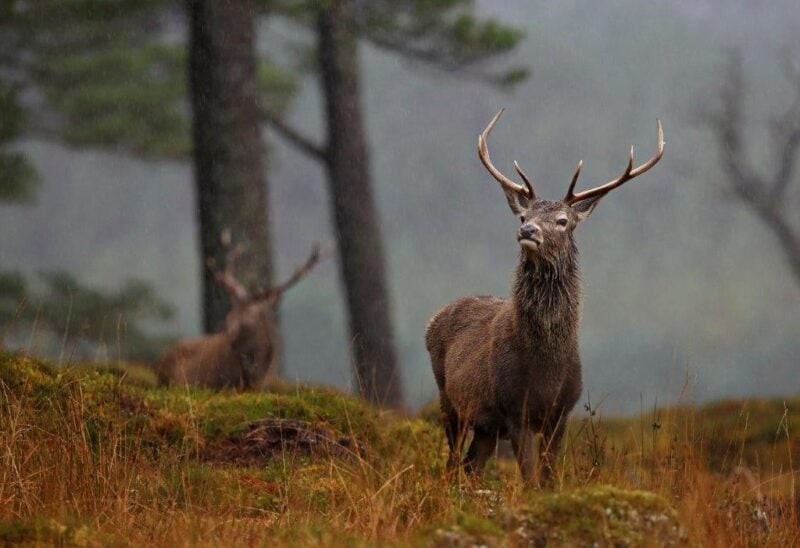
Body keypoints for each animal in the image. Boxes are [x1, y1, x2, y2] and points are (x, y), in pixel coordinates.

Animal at [425, 109, 665, 485]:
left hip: (485, 427)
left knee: (471, 465)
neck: (546, 369)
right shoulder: (514, 410)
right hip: (449, 400)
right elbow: (531, 480)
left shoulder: (561, 412)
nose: (527, 230)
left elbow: (550, 479)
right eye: (525, 215)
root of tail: (433, 319)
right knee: (452, 463)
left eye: (563, 220)